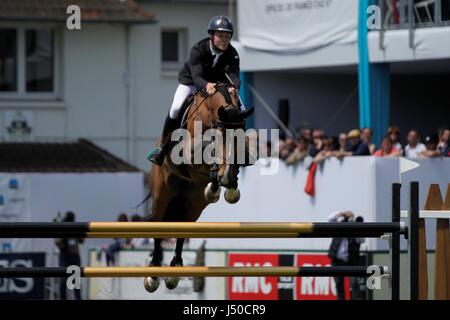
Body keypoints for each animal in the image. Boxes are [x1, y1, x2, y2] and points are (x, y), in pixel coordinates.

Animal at [146, 83, 255, 292]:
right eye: (221, 134)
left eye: (240, 133)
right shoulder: (189, 153)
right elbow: (207, 149)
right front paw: (221, 175)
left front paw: (229, 184)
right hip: (162, 195)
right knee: (158, 228)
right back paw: (153, 274)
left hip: (194, 203)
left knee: (183, 228)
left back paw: (175, 269)